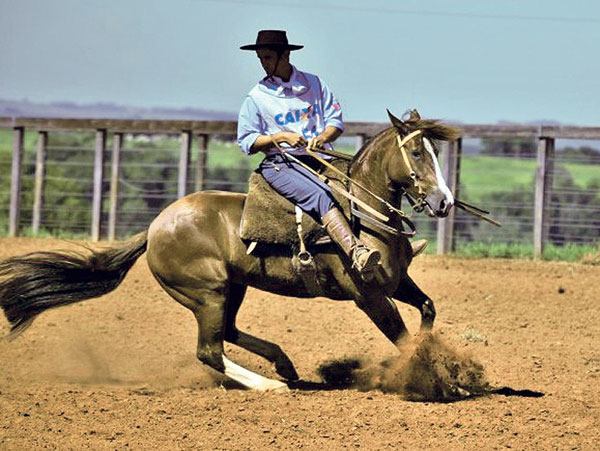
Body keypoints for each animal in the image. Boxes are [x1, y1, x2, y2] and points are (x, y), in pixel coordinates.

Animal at [0, 109, 460, 392]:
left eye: (435, 152)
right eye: (416, 152)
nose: (445, 202)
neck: (361, 212)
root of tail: (154, 228)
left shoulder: (397, 282)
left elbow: (427, 311)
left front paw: (444, 369)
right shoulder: (367, 295)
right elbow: (401, 338)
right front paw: (431, 380)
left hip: (232, 287)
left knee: (229, 332)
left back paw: (284, 366)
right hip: (207, 292)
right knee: (210, 349)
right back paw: (271, 384)